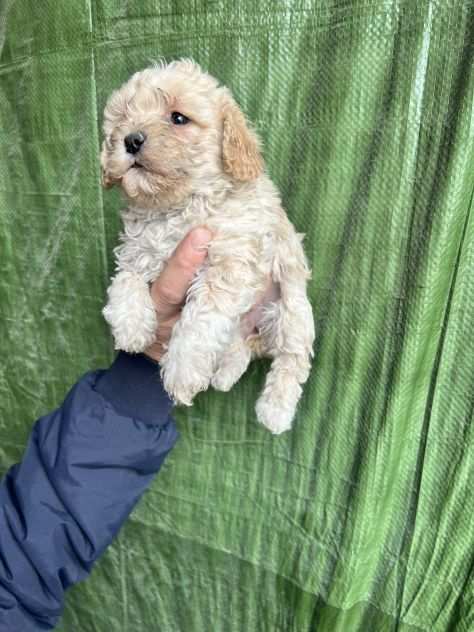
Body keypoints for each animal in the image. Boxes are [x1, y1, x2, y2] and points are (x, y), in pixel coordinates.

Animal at [100, 60, 314, 434]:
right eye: (124, 117)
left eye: (178, 118)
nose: (131, 139)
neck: (176, 206)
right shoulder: (138, 249)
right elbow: (125, 278)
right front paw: (130, 325)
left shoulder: (230, 263)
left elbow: (200, 321)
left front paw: (182, 370)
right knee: (239, 344)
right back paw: (224, 374)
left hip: (292, 310)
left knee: (292, 359)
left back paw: (275, 411)